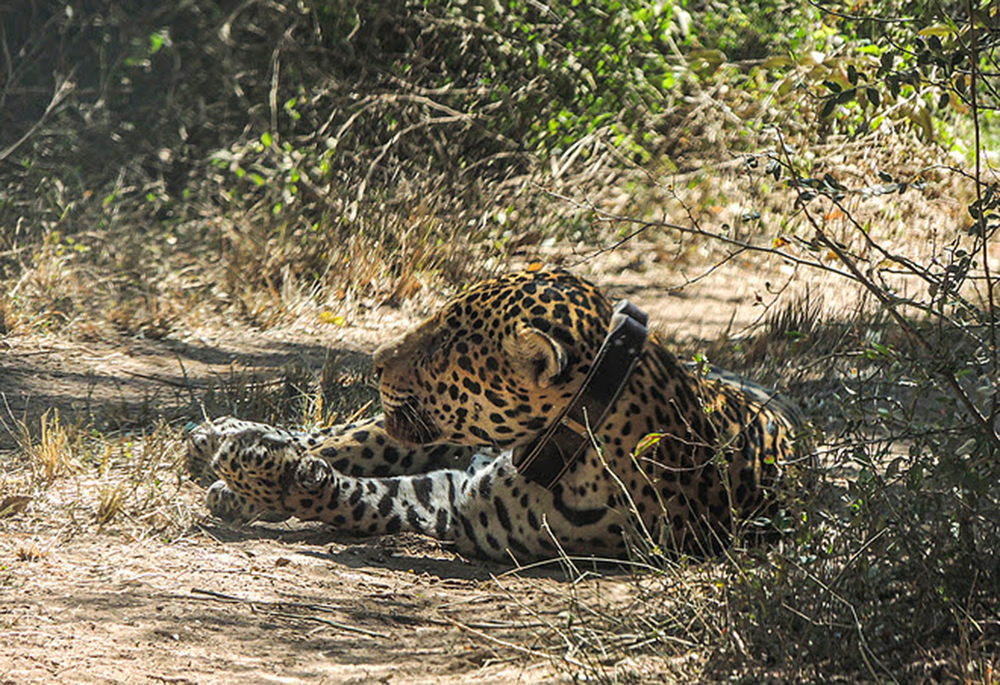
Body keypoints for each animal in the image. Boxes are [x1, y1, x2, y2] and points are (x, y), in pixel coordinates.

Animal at [187, 267, 810, 562]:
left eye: (443, 344)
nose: (377, 364)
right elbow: (339, 461)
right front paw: (247, 460)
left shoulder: (455, 507)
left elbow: (355, 498)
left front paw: (264, 477)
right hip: (428, 435)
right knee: (343, 436)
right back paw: (214, 438)